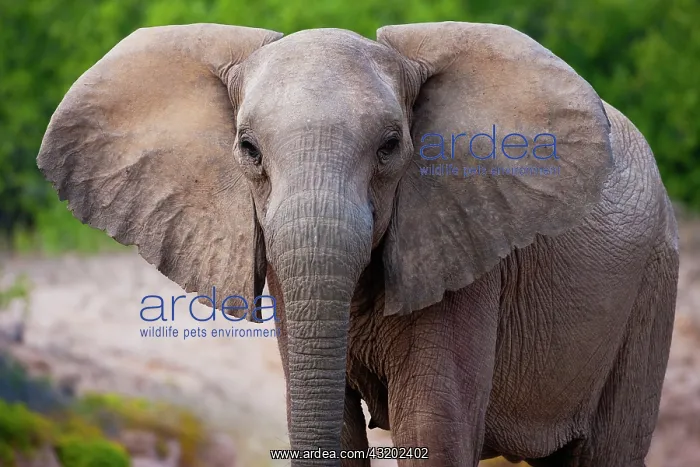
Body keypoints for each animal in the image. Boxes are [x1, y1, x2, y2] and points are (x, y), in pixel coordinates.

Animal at [36, 21, 679, 467]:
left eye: (392, 146)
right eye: (248, 149)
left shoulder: (463, 254)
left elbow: (433, 431)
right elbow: (333, 421)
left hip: (653, 283)